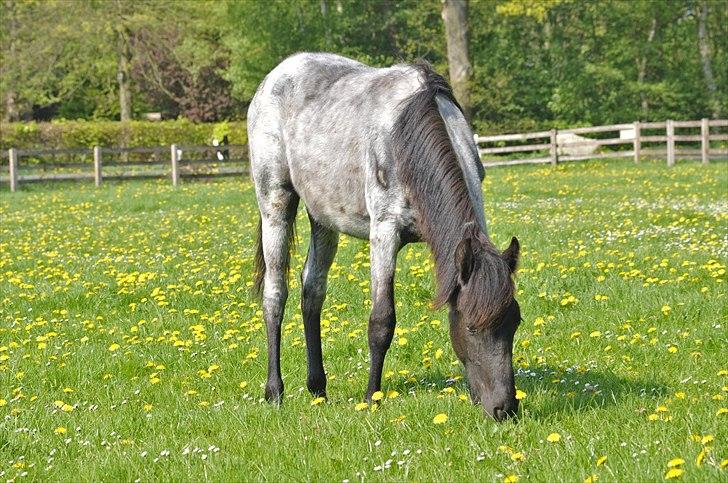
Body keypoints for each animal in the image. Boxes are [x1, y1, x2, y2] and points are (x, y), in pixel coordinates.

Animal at [250, 53, 524, 422]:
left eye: (514, 323)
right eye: (470, 327)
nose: (504, 408)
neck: (406, 141)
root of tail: (276, 74)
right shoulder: (384, 232)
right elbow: (381, 322)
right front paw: (371, 398)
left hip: (322, 217)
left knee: (312, 291)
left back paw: (318, 389)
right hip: (275, 203)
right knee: (276, 294)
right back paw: (274, 391)